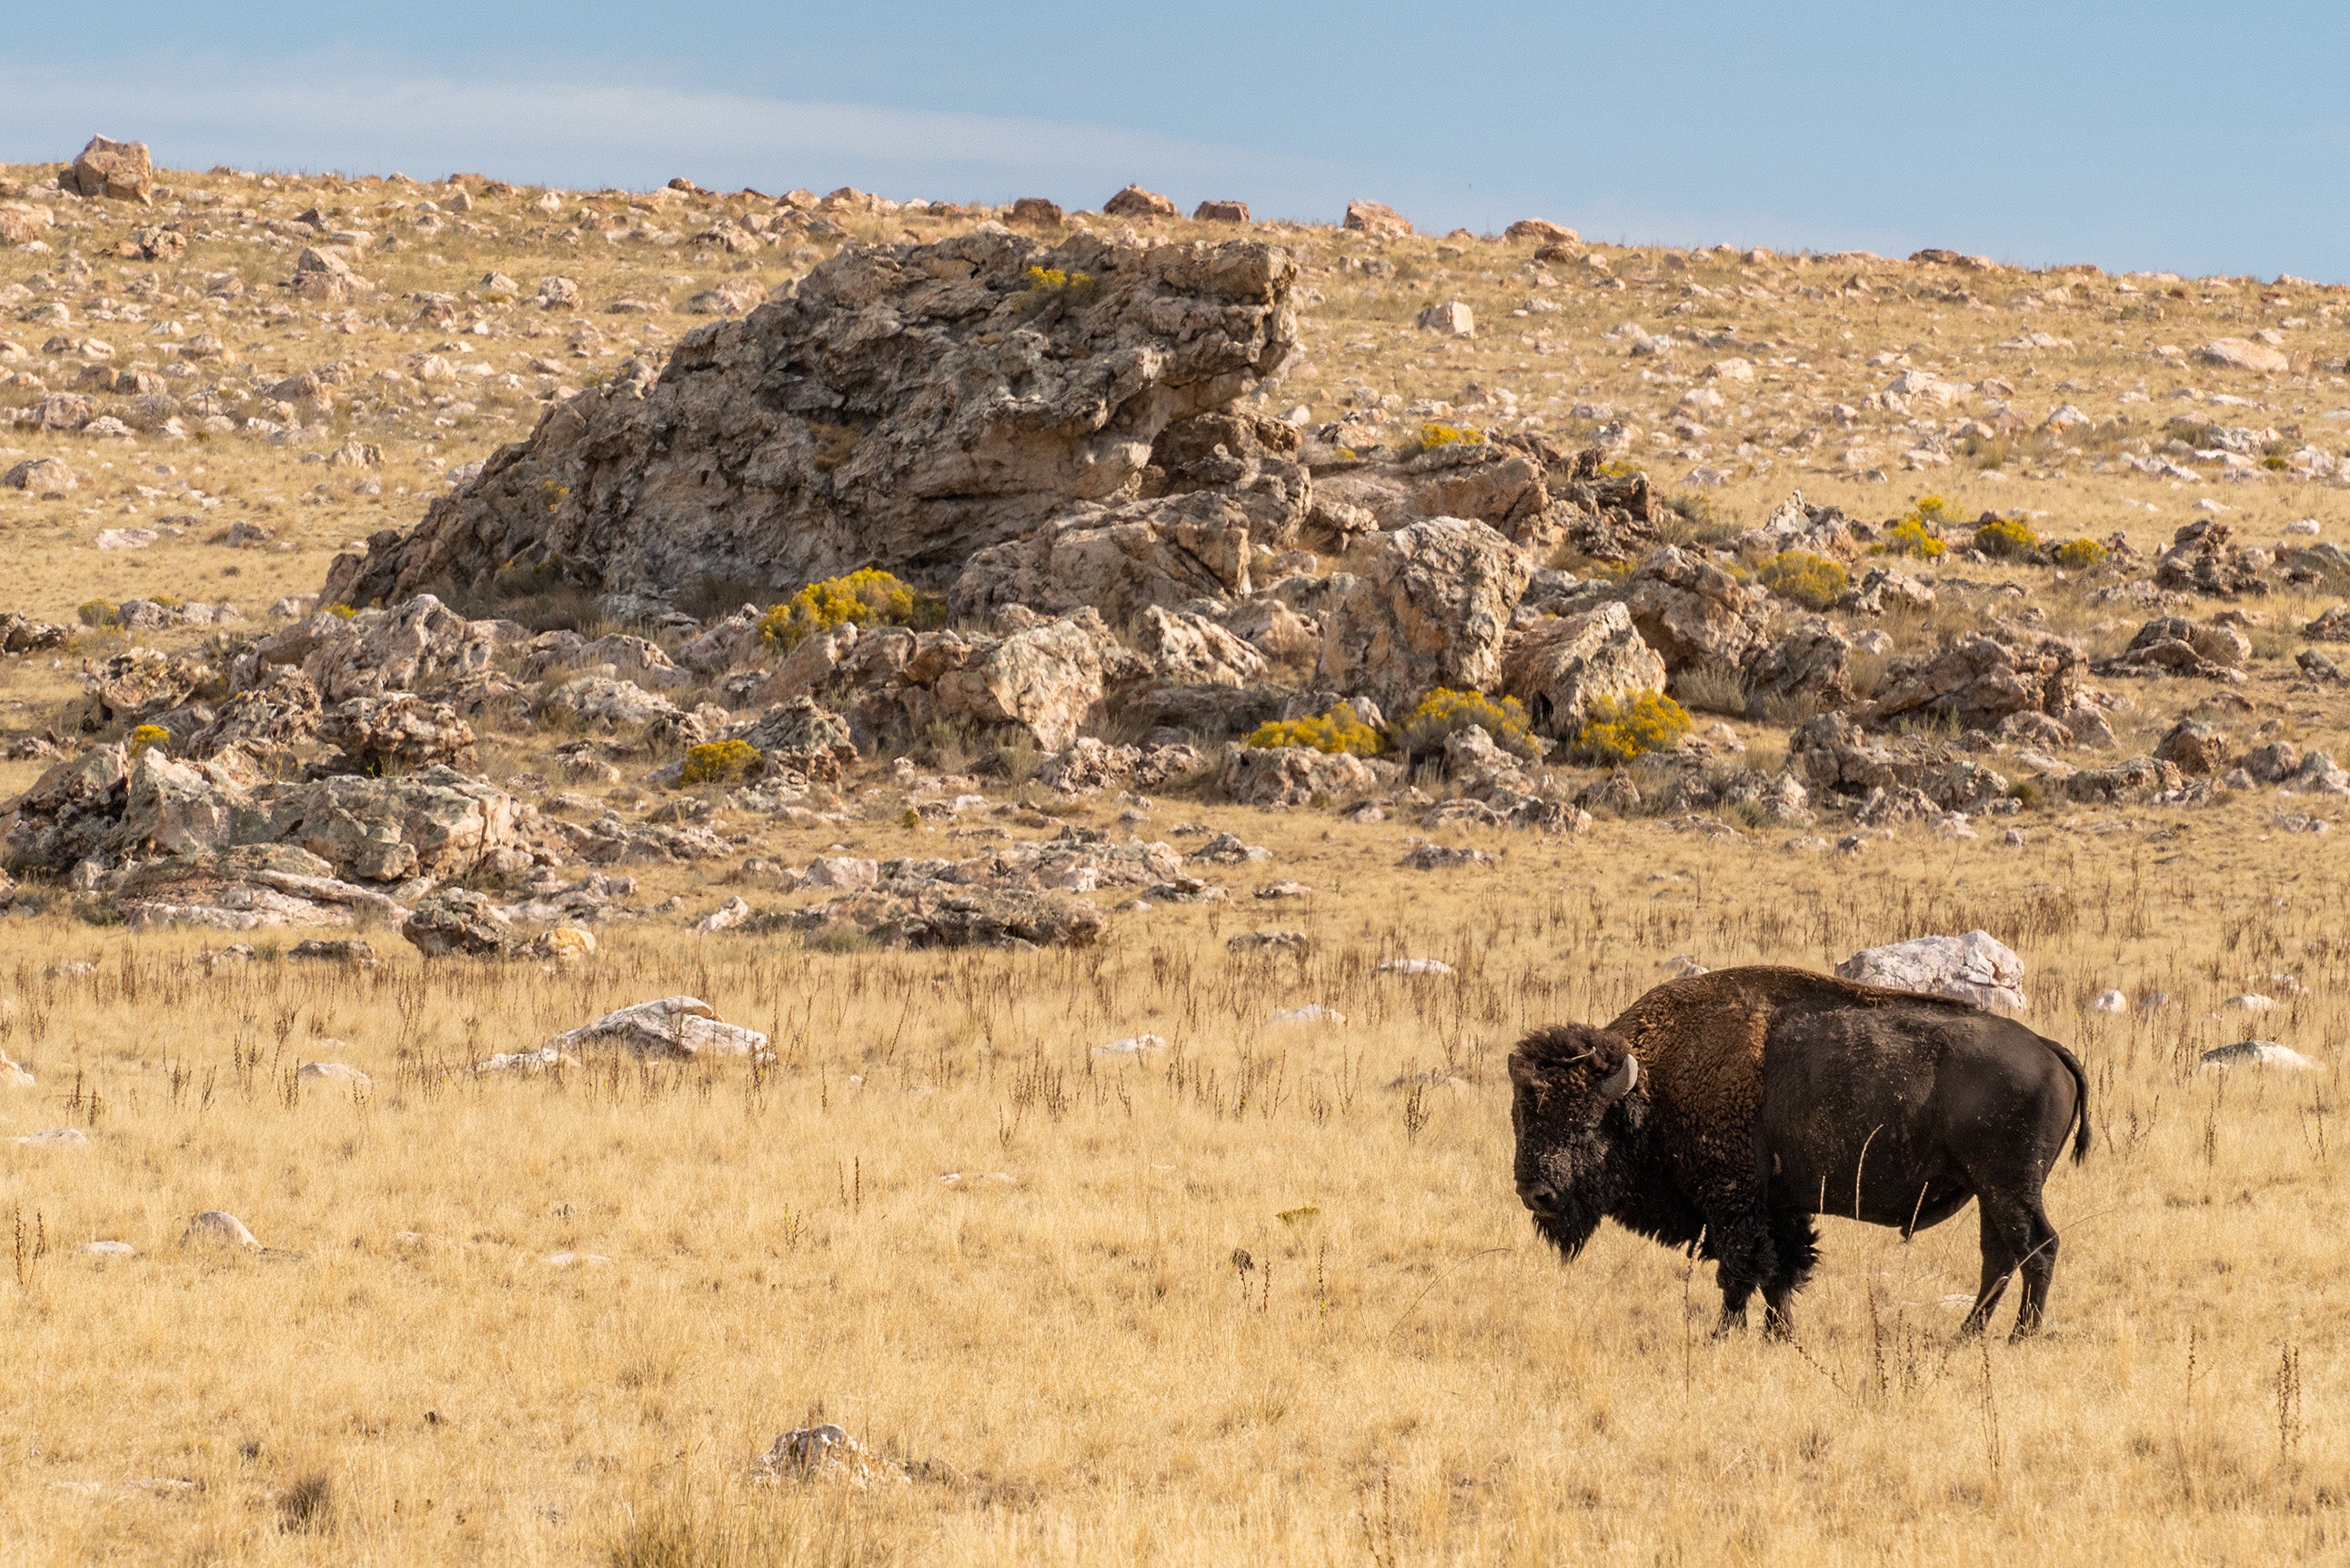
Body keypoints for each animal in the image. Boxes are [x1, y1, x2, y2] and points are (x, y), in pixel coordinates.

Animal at [1513, 968, 2086, 1335]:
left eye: (1585, 1125)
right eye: (1520, 1117)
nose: (1536, 1194)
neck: (1654, 1085)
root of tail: (2047, 1048)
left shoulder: (1734, 1202)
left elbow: (1743, 1268)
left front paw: (1728, 1335)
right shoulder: (1778, 1205)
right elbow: (1780, 1271)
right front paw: (1778, 1334)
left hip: (2010, 1186)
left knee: (2038, 1247)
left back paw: (2021, 1337)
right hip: (1991, 1191)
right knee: (2000, 1256)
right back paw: (1966, 1336)